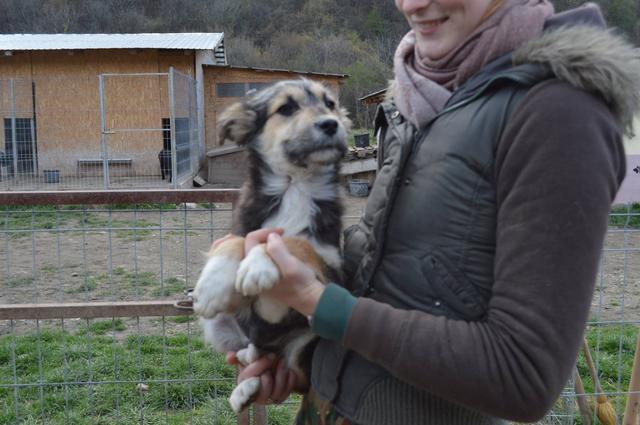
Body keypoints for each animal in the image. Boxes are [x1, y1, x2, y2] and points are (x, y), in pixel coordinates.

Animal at [191, 78, 350, 410]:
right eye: (286, 108)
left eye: (330, 104)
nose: (331, 124)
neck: (295, 185)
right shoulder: (242, 225)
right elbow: (235, 241)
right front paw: (212, 285)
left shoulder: (335, 268)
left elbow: (294, 240)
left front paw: (258, 266)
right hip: (219, 324)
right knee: (254, 355)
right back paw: (246, 383)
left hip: (309, 339)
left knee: (285, 364)